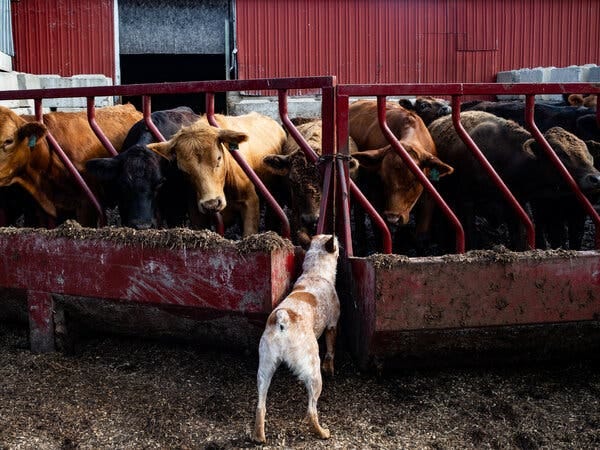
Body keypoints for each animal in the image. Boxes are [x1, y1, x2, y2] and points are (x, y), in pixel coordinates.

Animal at [251, 234, 340, 444]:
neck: (315, 273)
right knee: (311, 411)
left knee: (260, 406)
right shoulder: (332, 326)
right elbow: (331, 351)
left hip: (265, 369)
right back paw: (322, 433)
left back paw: (259, 437)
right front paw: (330, 368)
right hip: (314, 374)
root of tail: (283, 319)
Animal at [350, 99, 452, 253]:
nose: (393, 218)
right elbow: (380, 229)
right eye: (383, 180)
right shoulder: (375, 195)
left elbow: (421, 235)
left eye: (415, 181)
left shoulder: (429, 196)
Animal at [426, 109, 600, 250]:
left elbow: (519, 239)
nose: (595, 178)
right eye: (559, 152)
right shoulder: (466, 201)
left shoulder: (517, 204)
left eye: (588, 153)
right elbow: (469, 236)